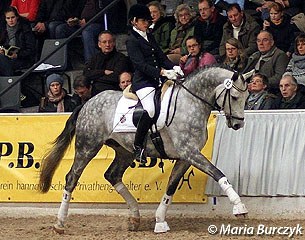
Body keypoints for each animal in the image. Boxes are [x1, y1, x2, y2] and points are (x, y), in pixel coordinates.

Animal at [38, 66, 249, 233]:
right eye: (235, 97)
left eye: (246, 97)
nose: (238, 124)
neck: (190, 103)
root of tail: (87, 103)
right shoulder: (190, 152)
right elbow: (217, 173)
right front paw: (239, 207)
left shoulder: (185, 157)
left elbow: (171, 186)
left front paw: (160, 221)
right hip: (87, 146)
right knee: (71, 178)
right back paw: (59, 224)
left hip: (124, 151)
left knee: (112, 175)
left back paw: (134, 217)